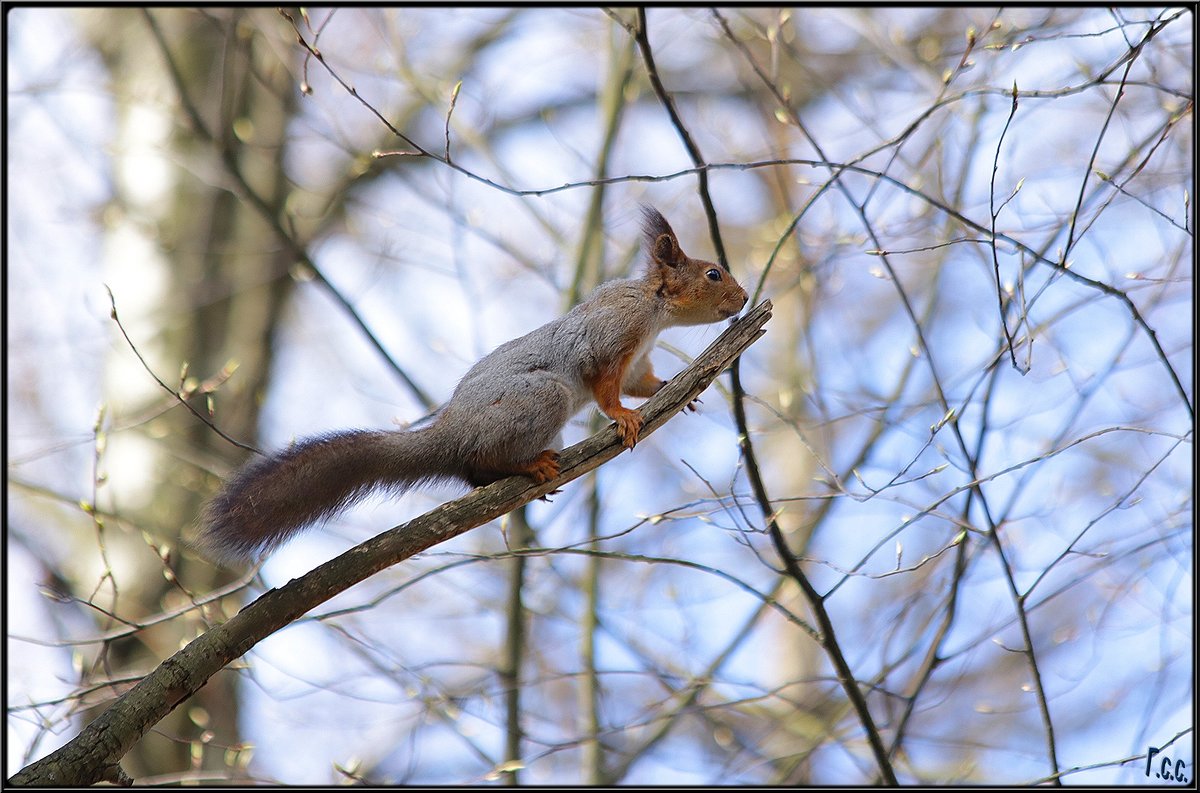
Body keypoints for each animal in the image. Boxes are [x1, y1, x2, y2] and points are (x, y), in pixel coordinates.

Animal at [200, 207, 744, 559]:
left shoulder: (636, 360)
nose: (742, 298)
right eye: (713, 274)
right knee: (483, 458)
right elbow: (605, 388)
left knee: (474, 473)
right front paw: (625, 419)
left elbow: (640, 382)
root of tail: (453, 431)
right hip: (540, 398)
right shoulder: (612, 336)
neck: (654, 309)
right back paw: (529, 465)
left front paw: (674, 390)